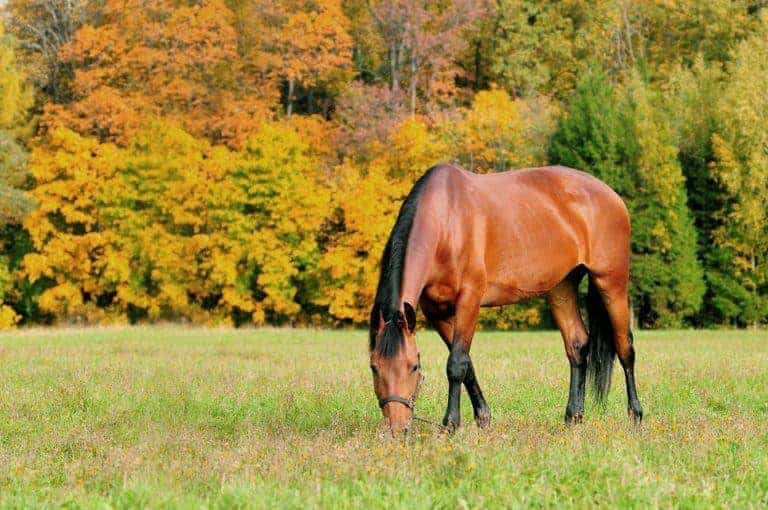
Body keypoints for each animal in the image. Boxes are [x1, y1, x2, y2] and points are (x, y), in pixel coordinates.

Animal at [368, 163, 643, 435]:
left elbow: (456, 364)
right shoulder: (437, 311)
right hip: (562, 288)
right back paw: (573, 417)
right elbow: (467, 364)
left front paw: (451, 424)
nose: (397, 429)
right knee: (577, 344)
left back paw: (635, 417)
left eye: (414, 366)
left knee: (625, 348)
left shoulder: (469, 301)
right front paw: (483, 418)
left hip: (611, 282)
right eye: (374, 367)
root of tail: (610, 195)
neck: (447, 221)